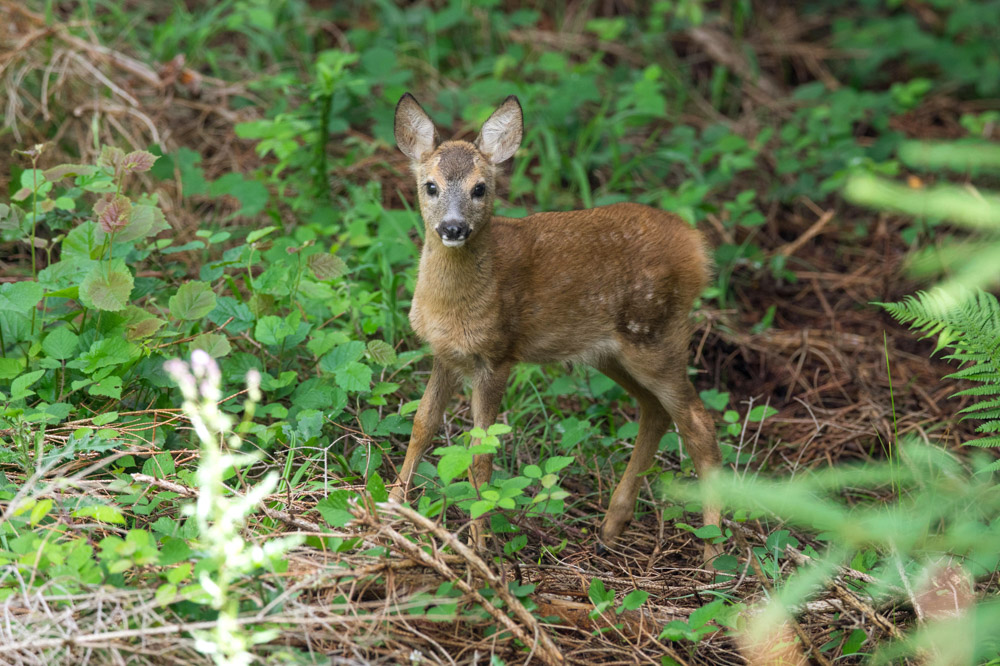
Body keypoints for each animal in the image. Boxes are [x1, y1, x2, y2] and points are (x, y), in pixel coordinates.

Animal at [389, 92, 723, 561]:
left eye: (480, 188)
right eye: (430, 185)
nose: (453, 227)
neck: (455, 305)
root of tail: (697, 248)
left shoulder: (498, 355)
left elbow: (481, 452)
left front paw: (477, 545)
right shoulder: (445, 355)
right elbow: (421, 427)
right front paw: (391, 506)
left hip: (657, 333)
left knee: (698, 424)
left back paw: (713, 555)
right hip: (611, 352)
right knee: (656, 411)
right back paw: (610, 527)